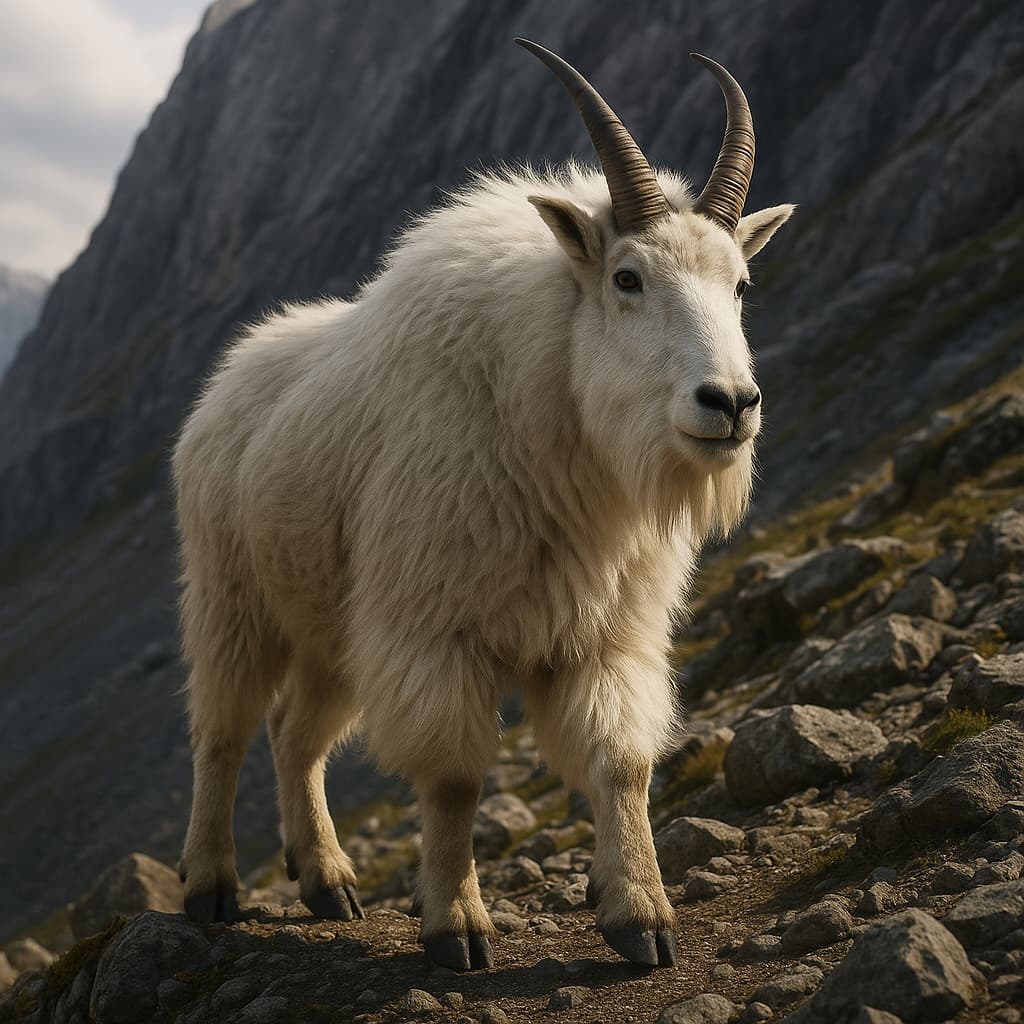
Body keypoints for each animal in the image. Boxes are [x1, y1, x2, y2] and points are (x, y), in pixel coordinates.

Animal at [174, 38, 794, 970]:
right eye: (628, 277)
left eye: (742, 283)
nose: (729, 404)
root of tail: (228, 379)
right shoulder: (436, 629)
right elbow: (455, 777)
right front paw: (457, 926)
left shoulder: (606, 633)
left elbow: (621, 763)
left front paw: (642, 916)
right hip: (234, 600)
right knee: (224, 732)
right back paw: (210, 885)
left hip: (332, 628)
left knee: (296, 735)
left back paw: (328, 881)